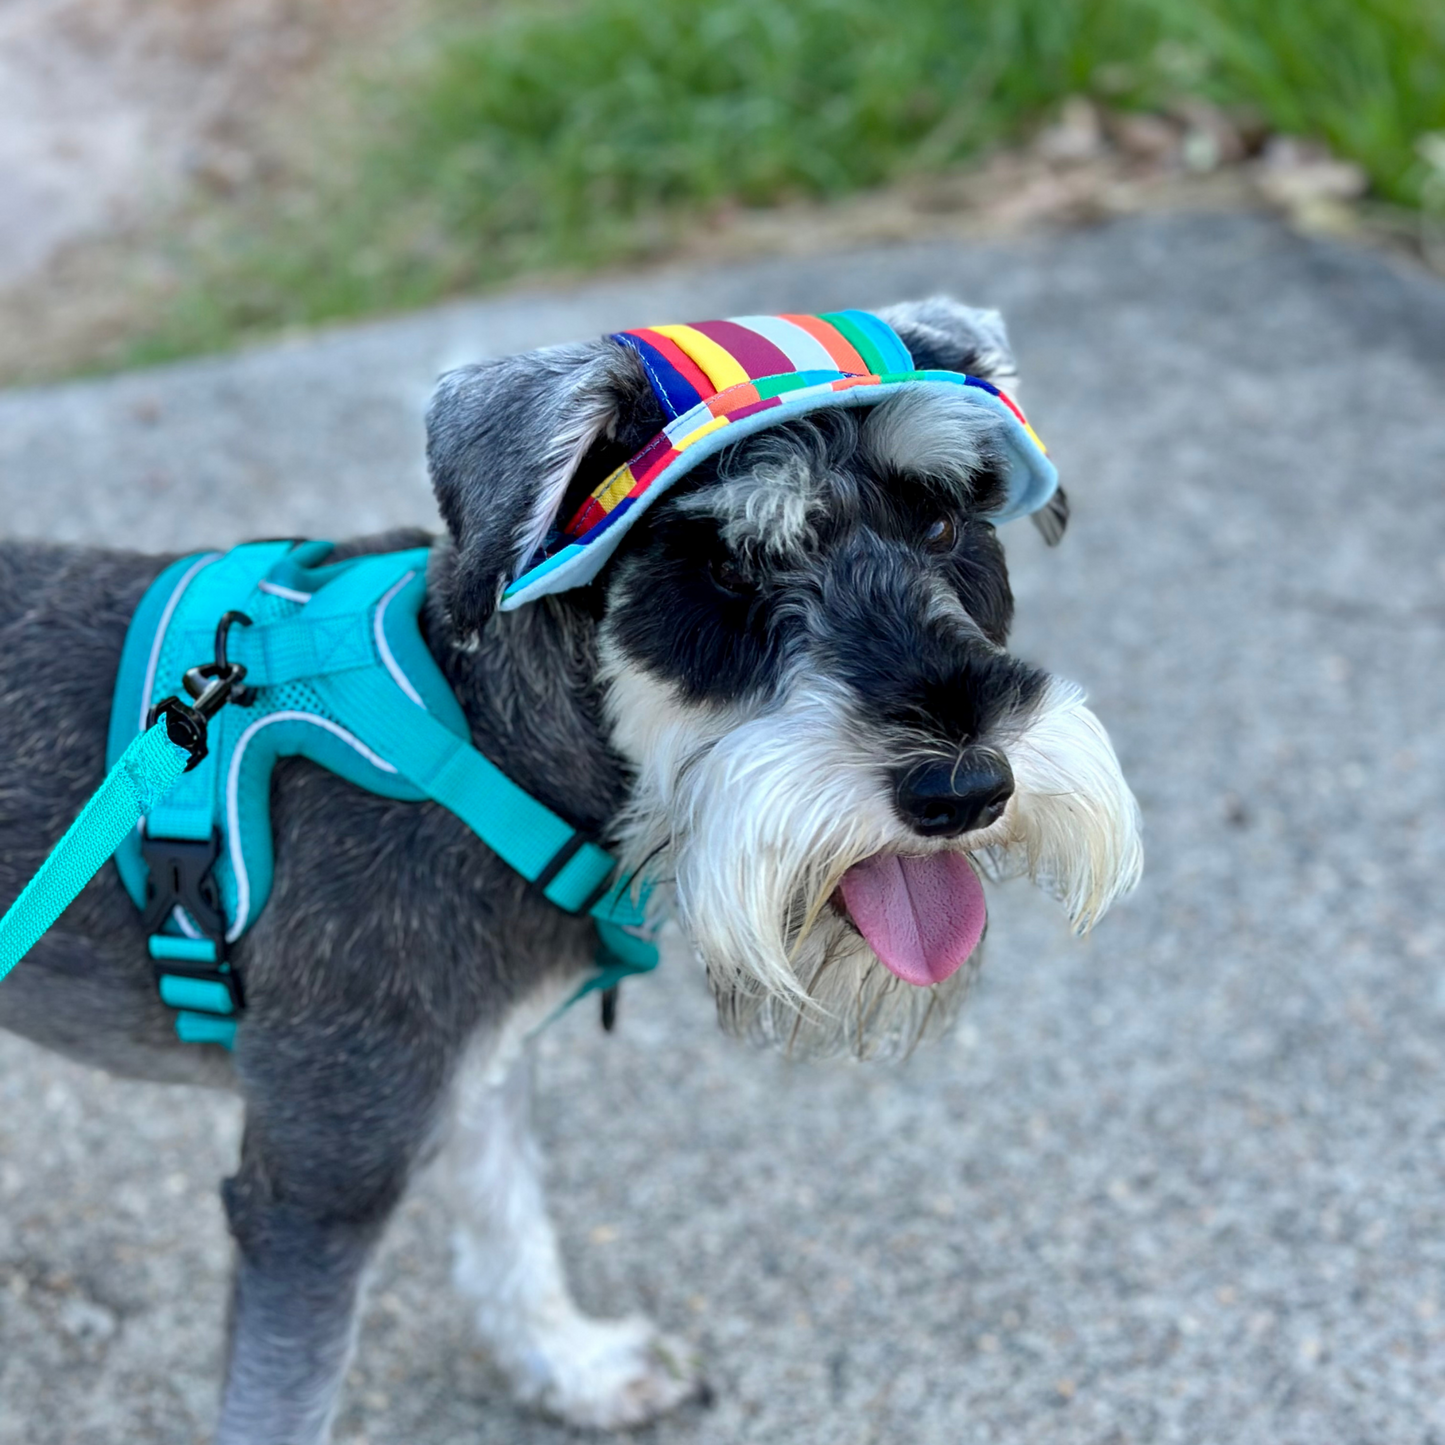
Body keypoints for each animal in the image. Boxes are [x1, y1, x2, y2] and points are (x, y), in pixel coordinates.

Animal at [0, 293, 1138, 1433]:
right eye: (725, 567)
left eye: (943, 525)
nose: (963, 787)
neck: (489, 741)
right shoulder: (317, 1184)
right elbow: (284, 1394)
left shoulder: (485, 1065)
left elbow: (510, 1222)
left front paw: (573, 1366)